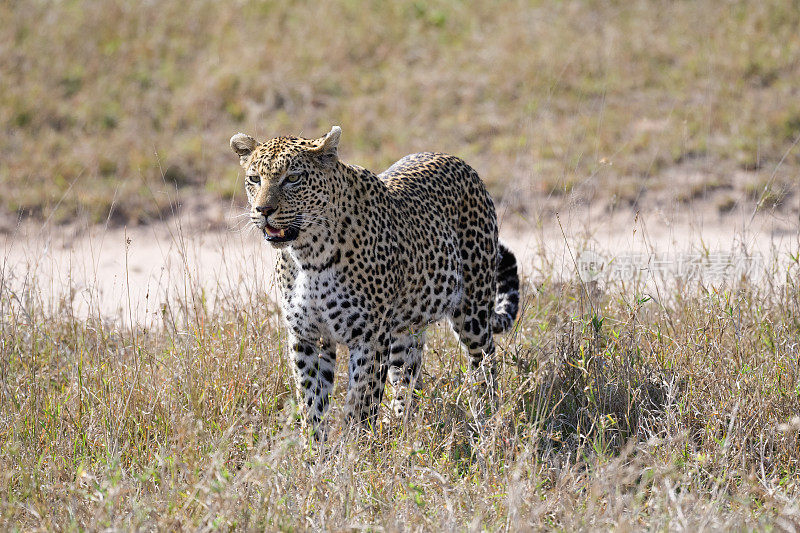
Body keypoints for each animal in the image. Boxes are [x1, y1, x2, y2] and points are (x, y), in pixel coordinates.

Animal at [231, 127, 520, 434]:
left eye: (293, 178)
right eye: (254, 179)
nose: (263, 210)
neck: (308, 255)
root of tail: (459, 162)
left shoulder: (370, 337)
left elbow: (361, 402)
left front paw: (355, 445)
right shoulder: (307, 336)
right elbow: (312, 403)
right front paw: (314, 446)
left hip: (472, 312)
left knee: (485, 360)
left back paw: (487, 419)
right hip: (408, 327)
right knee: (408, 375)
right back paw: (400, 427)